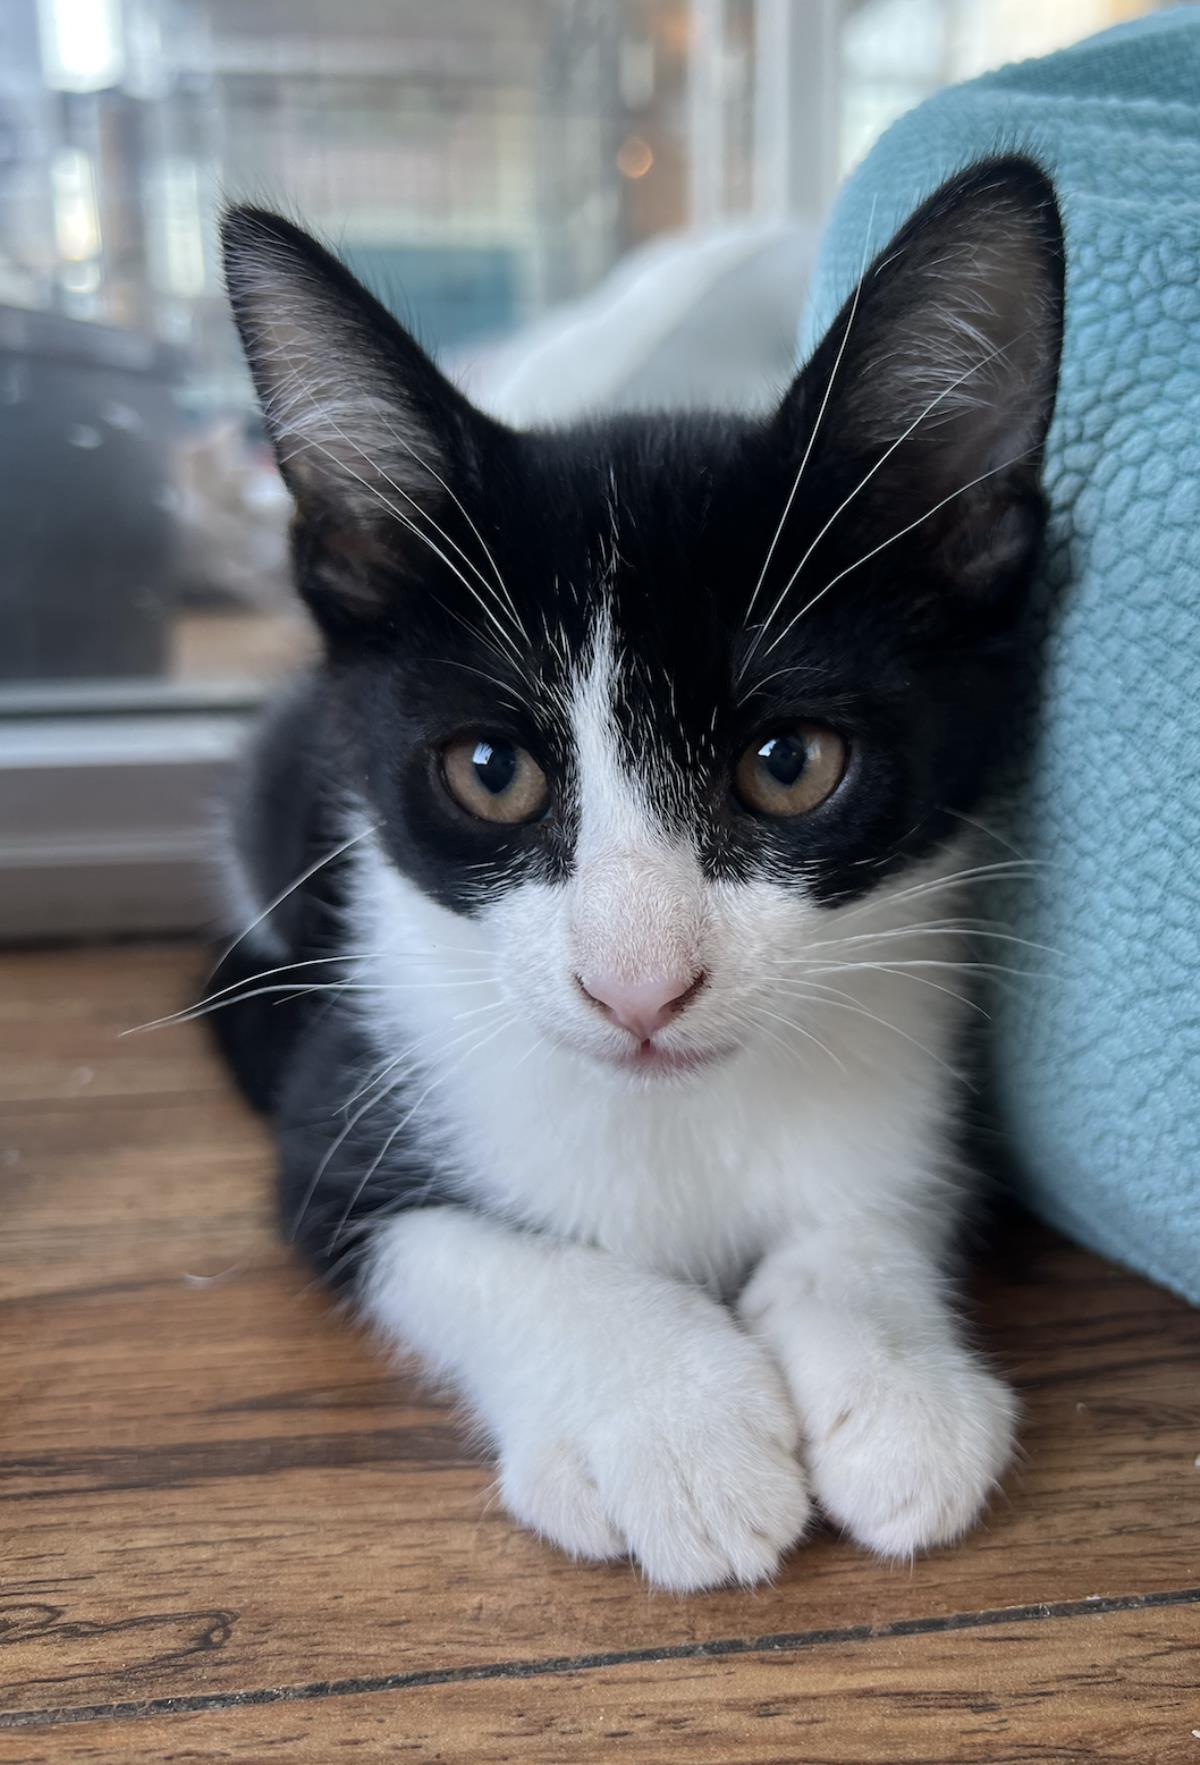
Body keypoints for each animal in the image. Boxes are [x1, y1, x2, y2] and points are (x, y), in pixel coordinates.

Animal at [210, 162, 1065, 1602]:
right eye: (490, 771)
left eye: (791, 763)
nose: (640, 985)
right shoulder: (340, 1109)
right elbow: (457, 1241)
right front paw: (670, 1422)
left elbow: (882, 1198)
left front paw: (893, 1376)